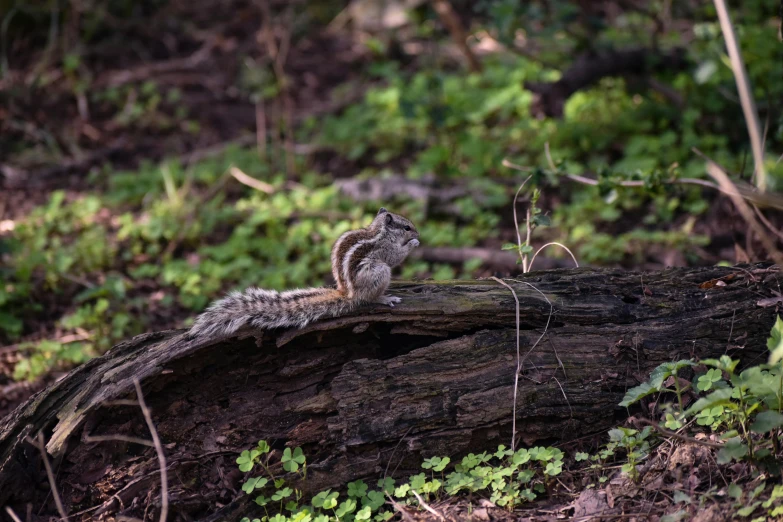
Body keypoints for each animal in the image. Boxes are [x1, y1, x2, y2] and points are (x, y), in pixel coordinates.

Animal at [187, 207, 420, 338]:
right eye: (407, 227)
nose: (417, 233)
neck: (379, 231)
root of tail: (347, 294)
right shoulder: (385, 250)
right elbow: (396, 256)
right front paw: (413, 244)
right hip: (379, 271)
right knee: (369, 298)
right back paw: (385, 298)